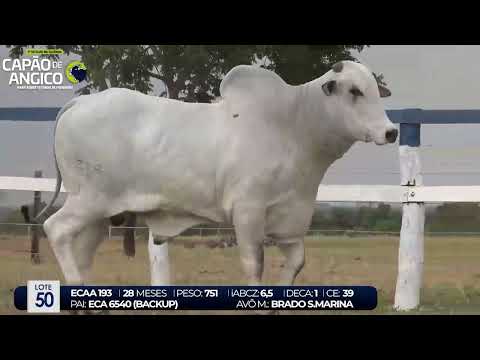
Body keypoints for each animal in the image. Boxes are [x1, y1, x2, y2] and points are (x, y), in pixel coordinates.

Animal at [38, 59, 398, 290]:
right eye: (354, 91)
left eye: (374, 90)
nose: (391, 131)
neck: (295, 125)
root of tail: (80, 103)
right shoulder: (248, 212)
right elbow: (255, 265)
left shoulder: (291, 220)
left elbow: (296, 263)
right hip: (89, 200)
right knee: (55, 229)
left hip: (100, 217)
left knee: (80, 253)